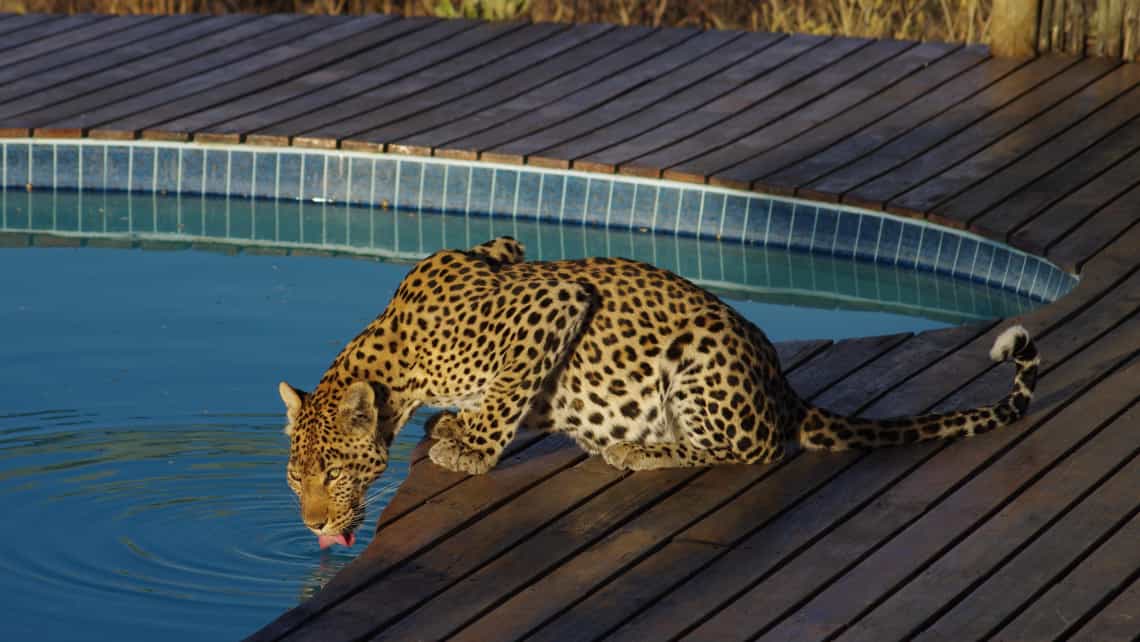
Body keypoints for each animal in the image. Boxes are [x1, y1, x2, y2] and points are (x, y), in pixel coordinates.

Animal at [278, 236, 1044, 547]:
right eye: (295, 479)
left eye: (334, 473)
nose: (314, 525)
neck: (399, 362)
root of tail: (784, 392)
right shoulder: (507, 249)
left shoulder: (551, 299)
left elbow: (510, 385)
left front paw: (468, 447)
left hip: (702, 361)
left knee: (754, 451)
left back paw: (644, 450)